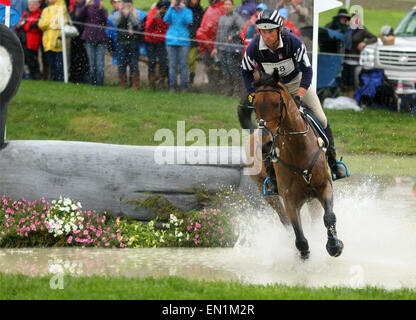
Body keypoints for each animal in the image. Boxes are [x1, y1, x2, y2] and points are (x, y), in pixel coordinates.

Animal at [244, 69, 344, 258]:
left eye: (277, 104)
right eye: (255, 105)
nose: (266, 144)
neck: (298, 149)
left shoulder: (324, 187)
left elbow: (329, 217)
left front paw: (335, 246)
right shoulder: (290, 199)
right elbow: (300, 237)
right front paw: (304, 256)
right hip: (267, 193)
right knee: (284, 220)